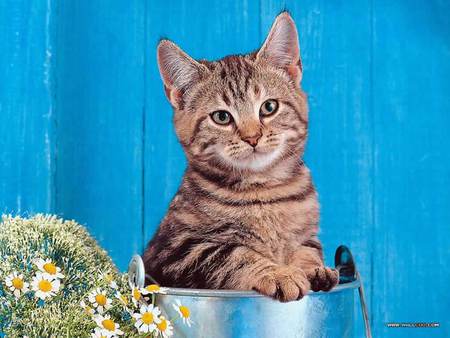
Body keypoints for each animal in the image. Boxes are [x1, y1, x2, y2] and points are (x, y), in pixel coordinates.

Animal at [144, 11, 338, 302]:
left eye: (269, 107)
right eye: (222, 117)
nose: (252, 137)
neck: (264, 191)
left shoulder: (309, 235)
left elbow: (307, 248)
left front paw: (313, 268)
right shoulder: (174, 251)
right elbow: (233, 253)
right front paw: (279, 273)